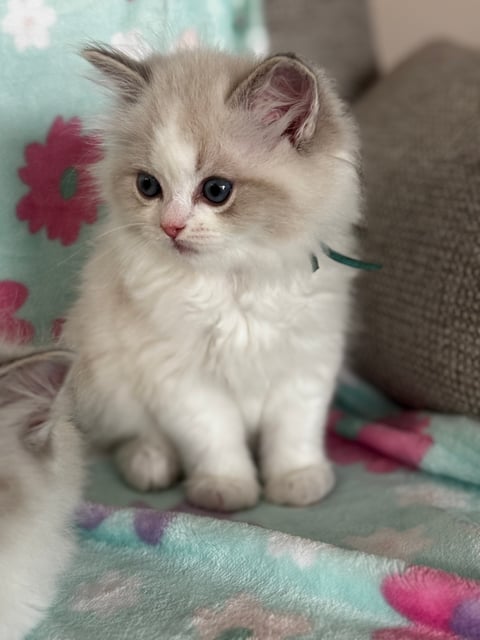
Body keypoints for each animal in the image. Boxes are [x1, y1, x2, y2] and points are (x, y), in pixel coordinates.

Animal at [65, 46, 362, 510]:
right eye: (148, 186)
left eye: (216, 191)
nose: (170, 227)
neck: (235, 280)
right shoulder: (181, 377)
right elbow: (214, 440)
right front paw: (226, 490)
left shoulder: (306, 362)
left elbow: (294, 434)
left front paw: (296, 481)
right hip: (106, 378)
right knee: (126, 438)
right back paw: (151, 464)